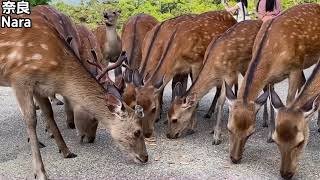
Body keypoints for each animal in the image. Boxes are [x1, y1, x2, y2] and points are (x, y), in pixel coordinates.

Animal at [0, 13, 148, 179]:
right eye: (137, 131)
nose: (145, 157)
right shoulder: (20, 78)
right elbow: (31, 120)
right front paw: (40, 172)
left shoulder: (40, 86)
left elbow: (49, 113)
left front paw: (66, 151)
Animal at [132, 10, 235, 139]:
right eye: (136, 106)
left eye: (153, 108)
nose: (147, 133)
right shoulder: (179, 70)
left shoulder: (197, 62)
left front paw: (191, 127)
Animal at [225, 2, 320, 165]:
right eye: (229, 129)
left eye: (251, 132)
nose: (235, 158)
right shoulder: (270, 78)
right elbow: (270, 99)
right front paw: (270, 134)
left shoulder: (295, 68)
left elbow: (288, 101)